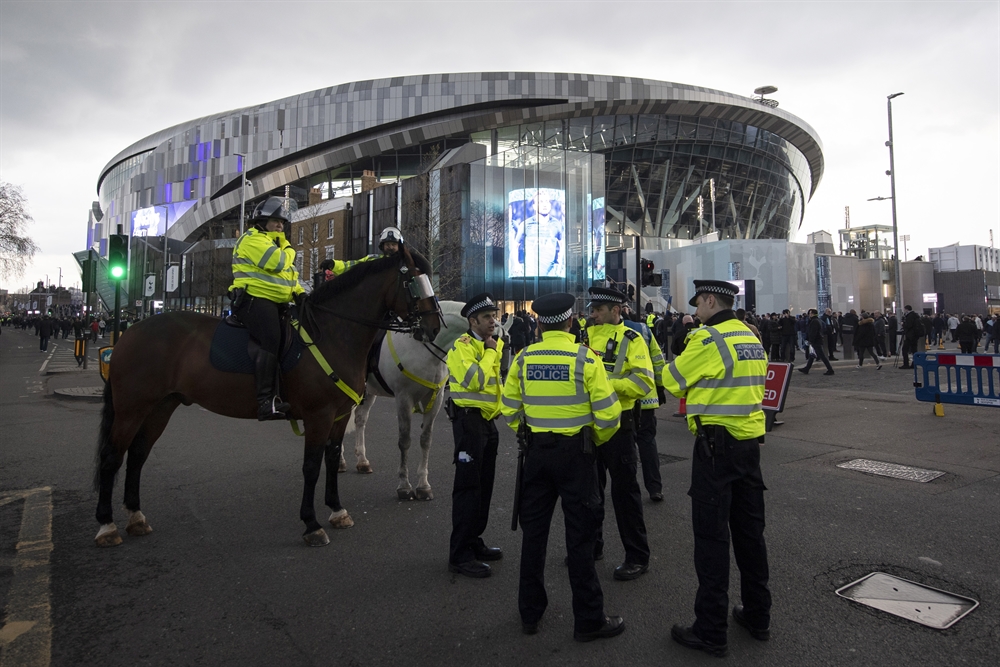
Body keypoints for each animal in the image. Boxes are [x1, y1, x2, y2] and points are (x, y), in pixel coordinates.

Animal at [94, 247, 442, 548]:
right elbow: (311, 466)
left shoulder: (339, 415)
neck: (332, 332)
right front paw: (311, 524)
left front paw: (337, 510)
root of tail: (129, 332)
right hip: (131, 408)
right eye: (414, 280)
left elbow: (331, 459)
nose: (434, 327)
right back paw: (107, 525)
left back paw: (136, 517)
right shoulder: (318, 415)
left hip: (160, 407)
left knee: (138, 455)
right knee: (112, 458)